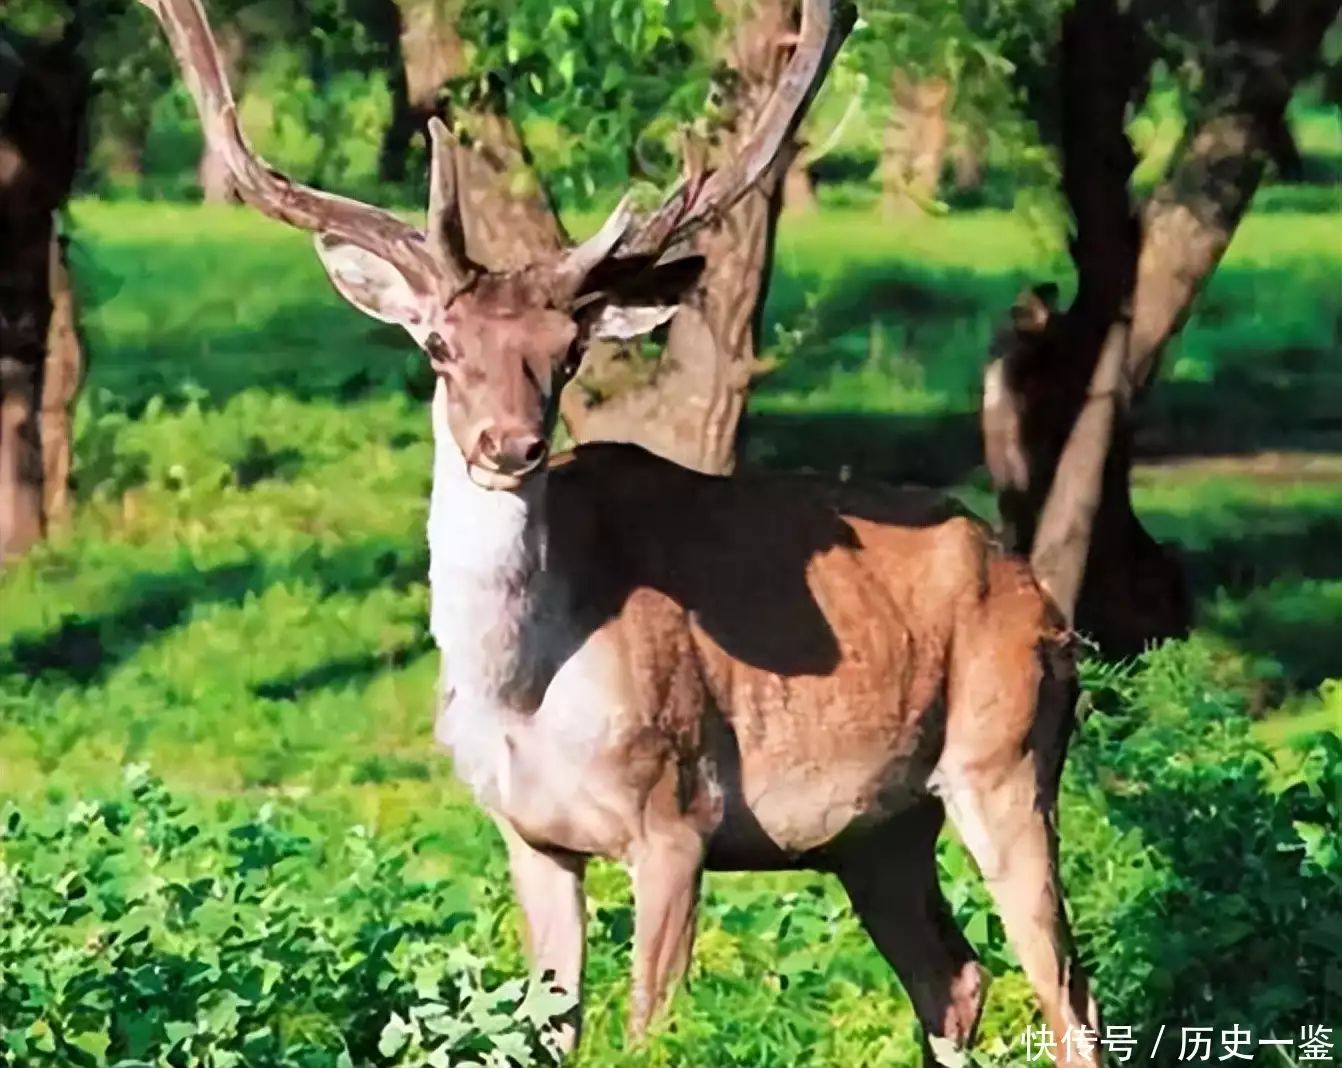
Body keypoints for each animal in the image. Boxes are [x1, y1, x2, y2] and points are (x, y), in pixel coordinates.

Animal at [138, 0, 1100, 1062]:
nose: (509, 445)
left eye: (566, 354)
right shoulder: (526, 831)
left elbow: (647, 1029)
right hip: (872, 830)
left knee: (1068, 990)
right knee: (954, 978)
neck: (521, 691)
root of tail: (1046, 602)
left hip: (1007, 753)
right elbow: (546, 1026)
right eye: (439, 346)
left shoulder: (678, 814)